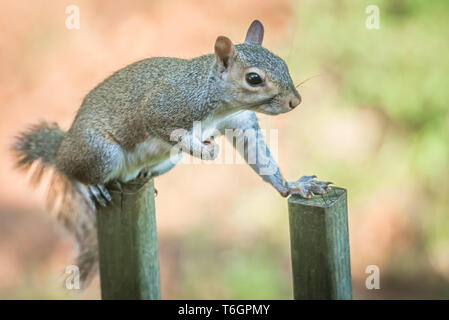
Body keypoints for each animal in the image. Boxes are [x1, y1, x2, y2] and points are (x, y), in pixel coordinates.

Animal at [13, 20, 328, 282]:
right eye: (253, 78)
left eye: (283, 63)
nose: (295, 101)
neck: (217, 98)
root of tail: (61, 148)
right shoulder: (163, 108)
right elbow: (163, 126)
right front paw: (206, 150)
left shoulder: (240, 122)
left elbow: (259, 157)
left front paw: (291, 185)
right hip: (98, 152)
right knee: (73, 172)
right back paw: (91, 187)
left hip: (163, 162)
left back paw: (143, 176)